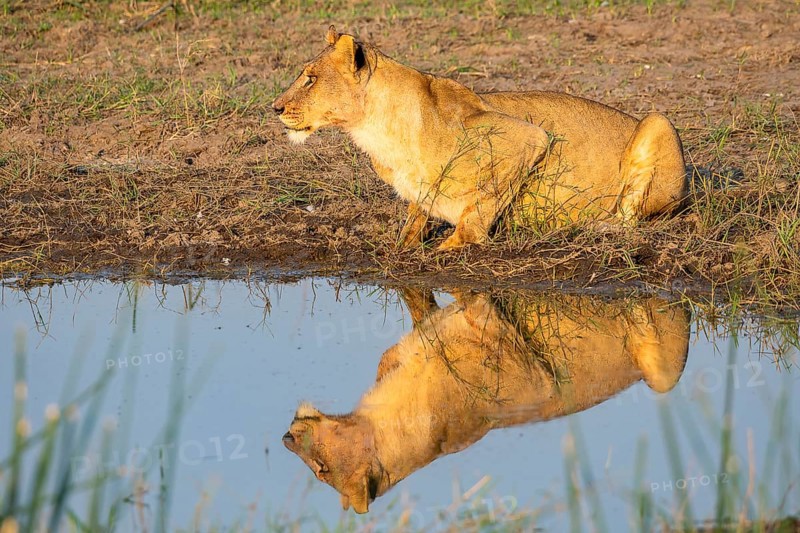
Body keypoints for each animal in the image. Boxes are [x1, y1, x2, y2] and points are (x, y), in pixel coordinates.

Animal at [272, 27, 688, 250]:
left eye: (310, 79)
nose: (274, 108)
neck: (377, 132)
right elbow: (414, 219)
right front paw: (406, 245)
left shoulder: (527, 138)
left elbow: (479, 210)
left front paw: (452, 247)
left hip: (659, 122)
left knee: (631, 215)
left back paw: (592, 226)